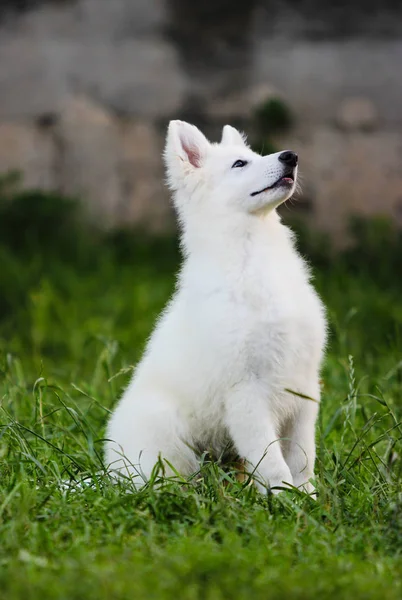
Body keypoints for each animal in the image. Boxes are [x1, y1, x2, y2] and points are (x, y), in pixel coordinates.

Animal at [104, 119, 326, 494]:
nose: (291, 156)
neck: (254, 255)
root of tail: (110, 475)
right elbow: (273, 462)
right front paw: (285, 500)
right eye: (240, 164)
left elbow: (301, 457)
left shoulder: (304, 388)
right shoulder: (246, 393)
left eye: (254, 156)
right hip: (168, 443)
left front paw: (308, 497)